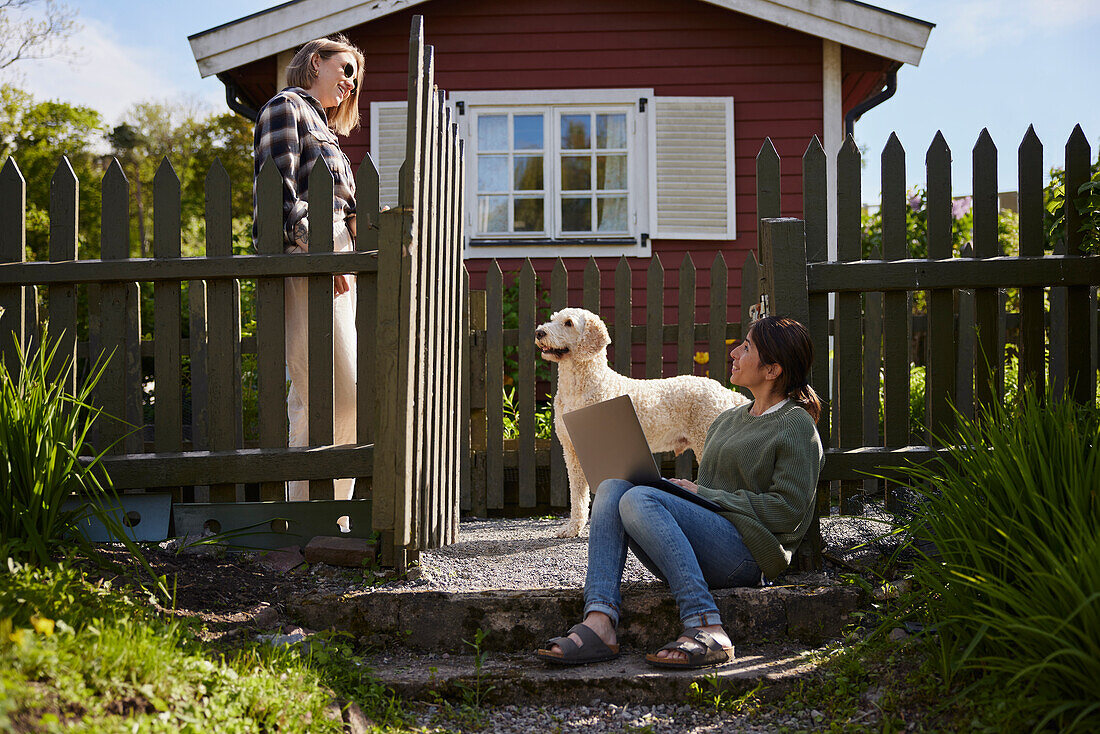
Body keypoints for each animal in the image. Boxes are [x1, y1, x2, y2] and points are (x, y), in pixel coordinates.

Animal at [532, 308, 748, 537]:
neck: (579, 388)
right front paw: (573, 527)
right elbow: (577, 494)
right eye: (553, 319)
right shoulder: (572, 451)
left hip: (704, 440)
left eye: (568, 323)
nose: (539, 332)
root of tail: (726, 392)